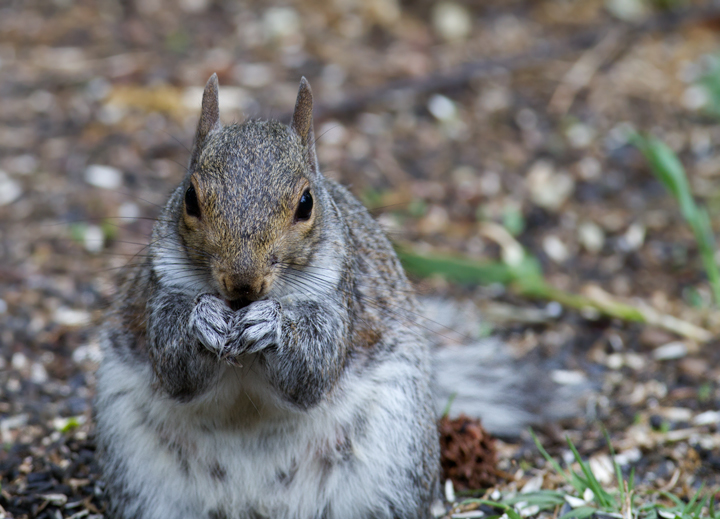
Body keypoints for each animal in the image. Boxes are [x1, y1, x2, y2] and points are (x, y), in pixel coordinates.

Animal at [94, 74, 440, 519]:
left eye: (306, 203)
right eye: (189, 198)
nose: (243, 283)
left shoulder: (339, 297)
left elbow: (312, 371)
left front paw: (270, 324)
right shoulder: (162, 286)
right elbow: (175, 367)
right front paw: (202, 319)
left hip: (394, 456)